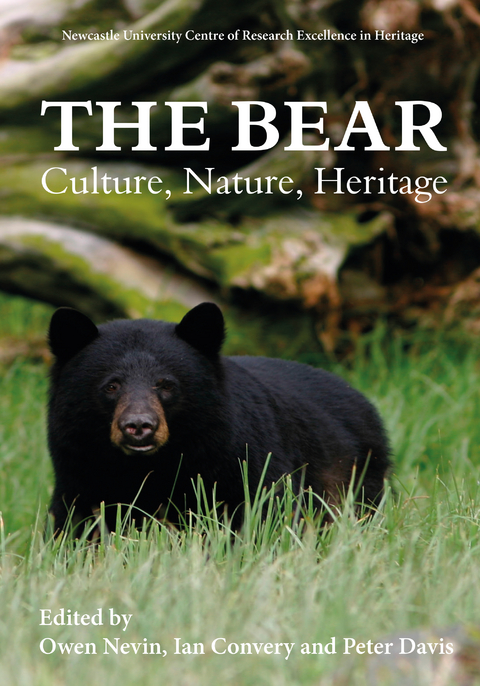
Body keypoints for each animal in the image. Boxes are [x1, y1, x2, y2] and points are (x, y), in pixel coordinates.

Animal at [47, 302, 391, 535]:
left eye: (167, 384)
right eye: (111, 385)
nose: (139, 426)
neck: (151, 465)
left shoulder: (239, 459)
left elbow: (264, 511)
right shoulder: (81, 469)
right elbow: (79, 524)